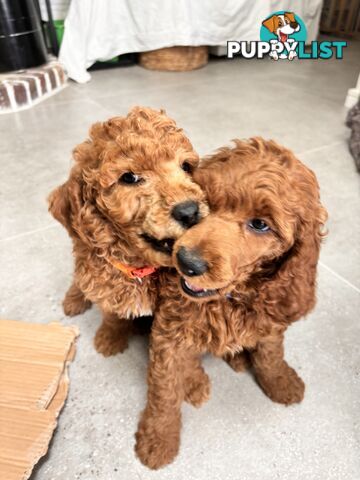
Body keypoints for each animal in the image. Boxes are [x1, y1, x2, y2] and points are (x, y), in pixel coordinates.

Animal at [47, 109, 207, 356]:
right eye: (129, 178)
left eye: (186, 167)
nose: (190, 212)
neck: (138, 268)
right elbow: (113, 316)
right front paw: (109, 339)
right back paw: (74, 299)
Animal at [135, 138, 326, 468]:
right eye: (207, 200)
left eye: (260, 225)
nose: (187, 262)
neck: (228, 298)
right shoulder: (168, 333)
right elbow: (164, 389)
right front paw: (158, 439)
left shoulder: (270, 314)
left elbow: (271, 353)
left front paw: (281, 381)